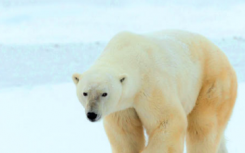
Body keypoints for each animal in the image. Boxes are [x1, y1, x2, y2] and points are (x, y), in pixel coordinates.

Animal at [72, 30, 236, 153]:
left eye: (104, 93)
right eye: (85, 93)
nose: (92, 114)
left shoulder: (151, 86)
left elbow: (167, 121)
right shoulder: (122, 106)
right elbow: (125, 132)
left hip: (212, 83)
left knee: (203, 127)